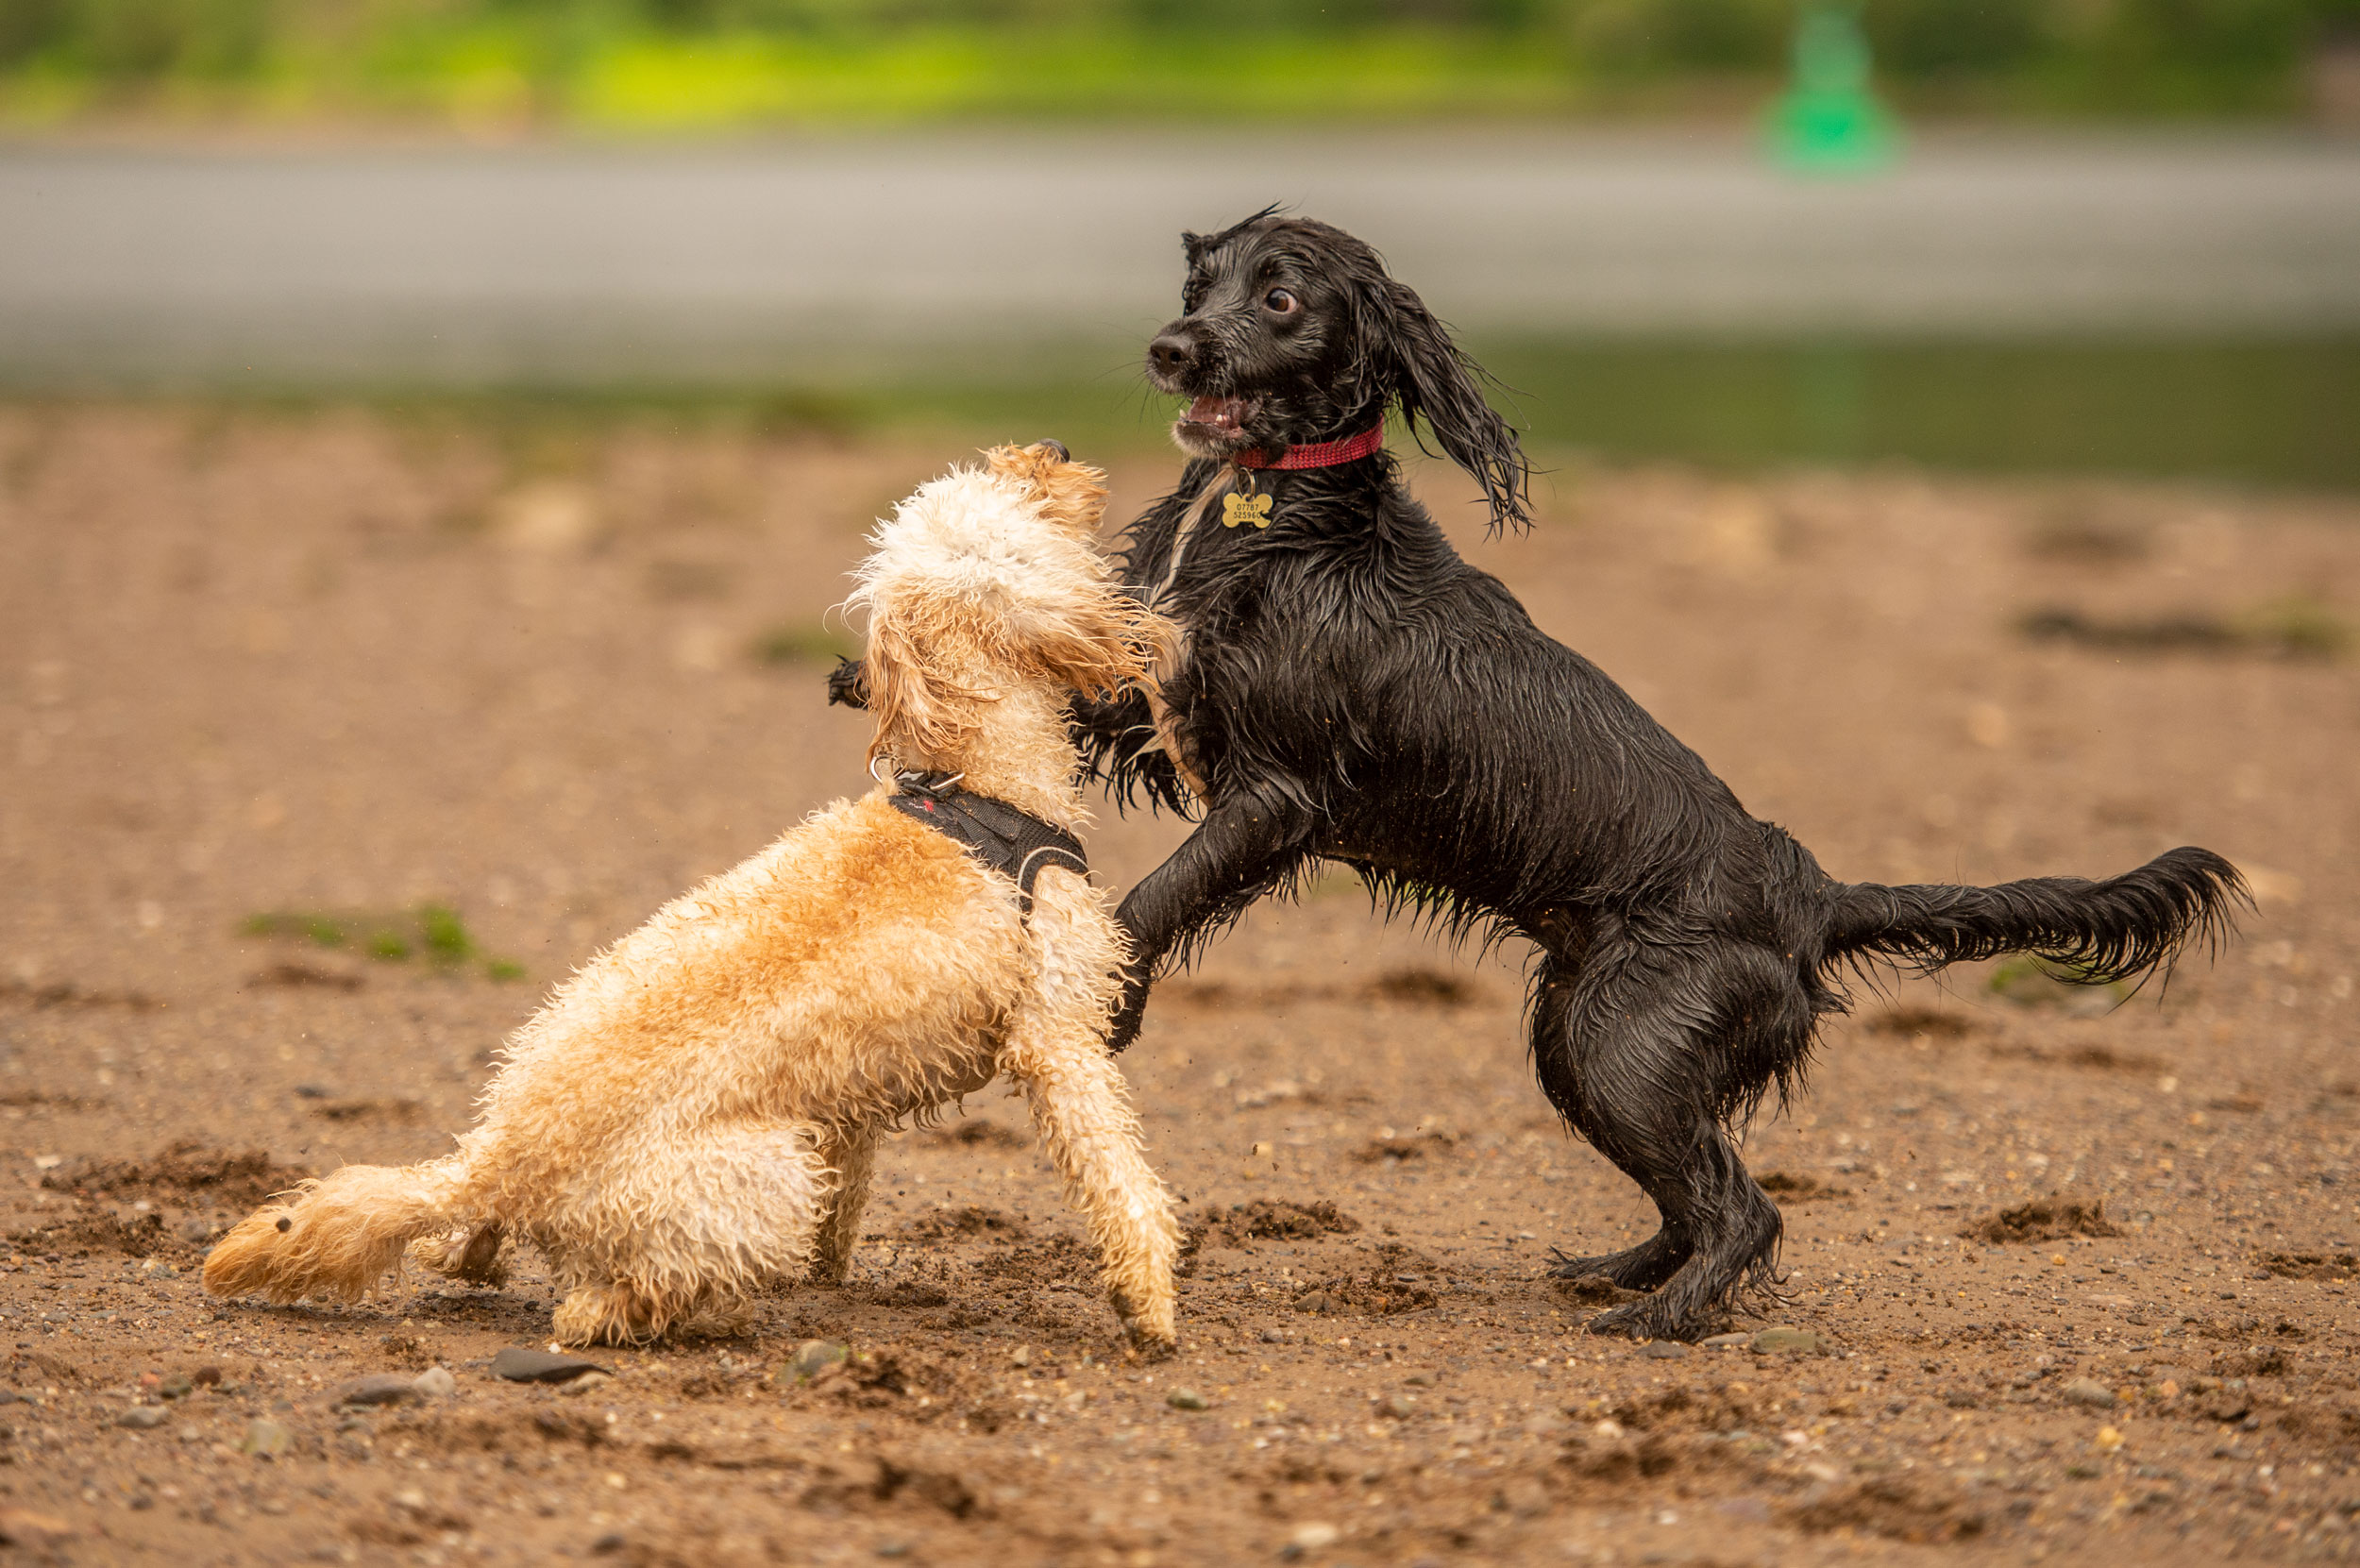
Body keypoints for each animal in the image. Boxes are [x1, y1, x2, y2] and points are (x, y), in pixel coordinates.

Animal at [200, 441, 1189, 1350]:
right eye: (1019, 497)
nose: (1056, 448)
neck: (977, 785)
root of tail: (507, 1163)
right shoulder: (1057, 1038)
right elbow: (1117, 1173)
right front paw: (1149, 1303)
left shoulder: (856, 1095)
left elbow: (852, 1182)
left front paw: (832, 1270)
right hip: (764, 1177)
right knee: (592, 1307)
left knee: (468, 1235)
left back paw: (472, 1249)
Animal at [835, 208, 2247, 1331]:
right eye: (1202, 280)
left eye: (1281, 298)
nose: (1172, 348)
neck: (1270, 511)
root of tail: (1810, 893)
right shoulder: (1167, 712)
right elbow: (1076, 706)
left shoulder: (1276, 791)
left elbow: (1156, 896)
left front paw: (1110, 993)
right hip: (1581, 1038)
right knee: (1696, 1193)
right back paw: (1620, 1272)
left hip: (1625, 1041)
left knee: (1745, 1210)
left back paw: (1659, 1322)